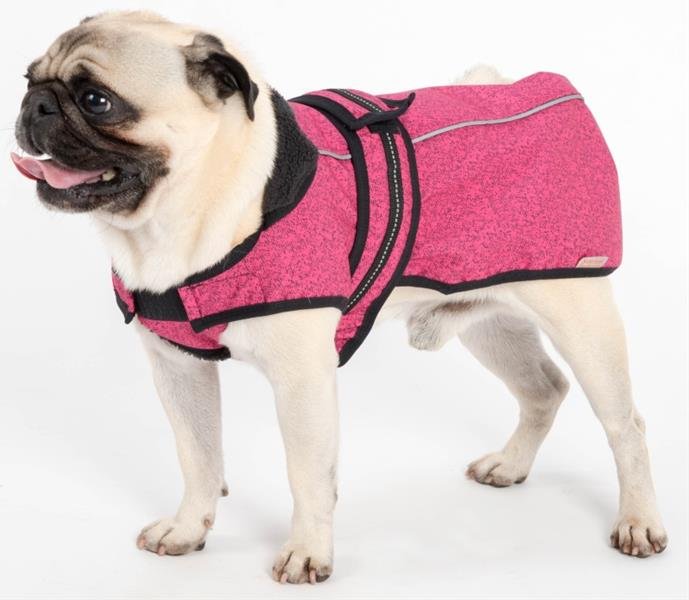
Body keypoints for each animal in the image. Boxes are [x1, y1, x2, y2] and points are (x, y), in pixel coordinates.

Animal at [11, 11, 667, 584]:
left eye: (96, 100)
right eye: (27, 79)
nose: (34, 105)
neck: (183, 216)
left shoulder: (302, 379)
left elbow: (307, 474)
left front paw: (307, 554)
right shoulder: (179, 370)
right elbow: (198, 456)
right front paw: (189, 529)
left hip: (580, 318)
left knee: (626, 425)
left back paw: (638, 521)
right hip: (488, 322)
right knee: (543, 389)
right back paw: (511, 465)